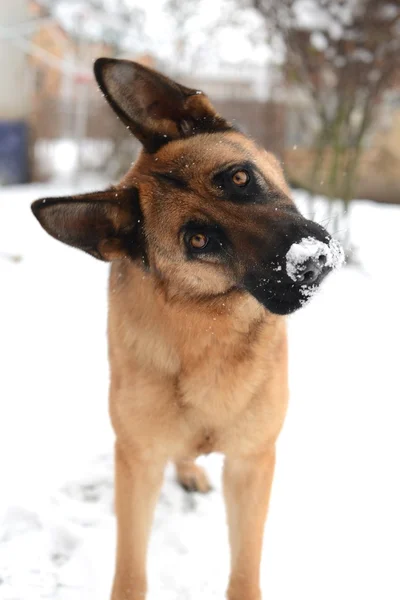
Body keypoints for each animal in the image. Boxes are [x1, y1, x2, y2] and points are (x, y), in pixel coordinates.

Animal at [32, 59, 344, 600]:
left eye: (239, 177)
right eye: (199, 240)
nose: (308, 261)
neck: (205, 328)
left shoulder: (251, 465)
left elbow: (244, 573)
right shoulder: (138, 465)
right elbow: (130, 573)